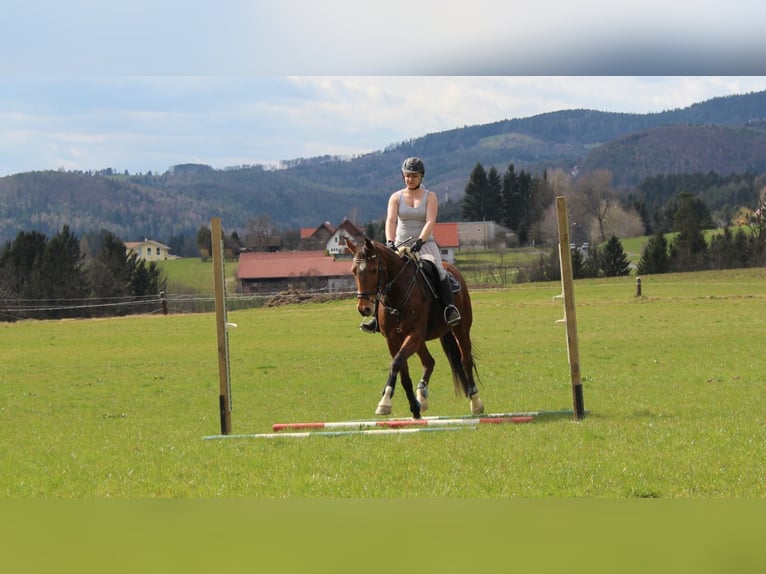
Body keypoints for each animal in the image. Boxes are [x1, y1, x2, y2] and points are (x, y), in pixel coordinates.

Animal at [344, 236, 484, 420]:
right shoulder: (393, 340)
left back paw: (476, 403)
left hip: (460, 328)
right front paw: (414, 408)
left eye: (374, 270)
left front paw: (385, 402)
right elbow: (403, 372)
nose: (364, 308)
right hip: (420, 341)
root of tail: (452, 268)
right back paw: (422, 397)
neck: (397, 296)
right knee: (429, 362)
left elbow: (395, 363)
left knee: (465, 360)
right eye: (354, 271)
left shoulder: (414, 334)